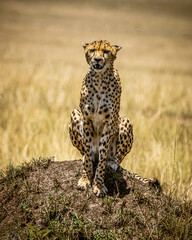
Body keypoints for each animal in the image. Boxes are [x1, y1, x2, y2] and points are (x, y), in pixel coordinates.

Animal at [69, 39, 134, 197]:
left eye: (106, 51)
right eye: (92, 50)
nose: (97, 59)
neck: (99, 79)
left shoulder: (109, 122)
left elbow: (103, 154)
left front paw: (98, 185)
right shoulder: (86, 119)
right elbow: (87, 151)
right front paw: (85, 179)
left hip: (125, 120)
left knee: (116, 158)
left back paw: (112, 162)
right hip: (74, 113)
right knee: (86, 153)